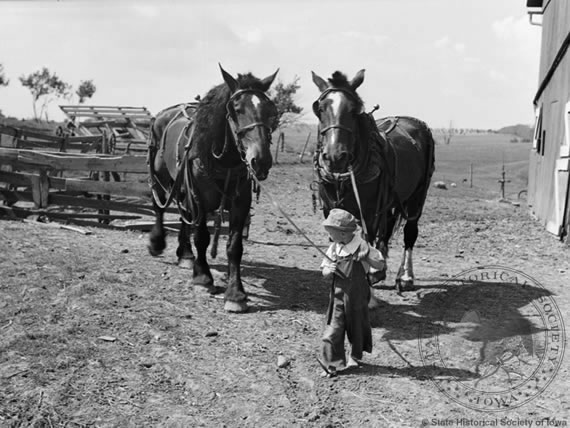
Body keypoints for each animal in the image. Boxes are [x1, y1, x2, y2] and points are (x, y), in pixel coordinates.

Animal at [148, 64, 278, 310]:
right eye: (236, 109)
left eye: (270, 110)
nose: (261, 160)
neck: (223, 160)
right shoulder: (198, 196)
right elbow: (202, 237)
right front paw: (203, 278)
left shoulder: (240, 202)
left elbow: (235, 246)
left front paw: (235, 294)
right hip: (161, 176)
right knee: (160, 207)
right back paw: (157, 243)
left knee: (184, 216)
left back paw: (186, 255)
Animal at [310, 69, 430, 290]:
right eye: (320, 109)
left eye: (353, 110)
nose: (335, 156)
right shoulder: (329, 208)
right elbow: (336, 239)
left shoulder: (369, 211)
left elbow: (367, 239)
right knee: (388, 226)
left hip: (417, 196)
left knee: (410, 231)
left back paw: (405, 276)